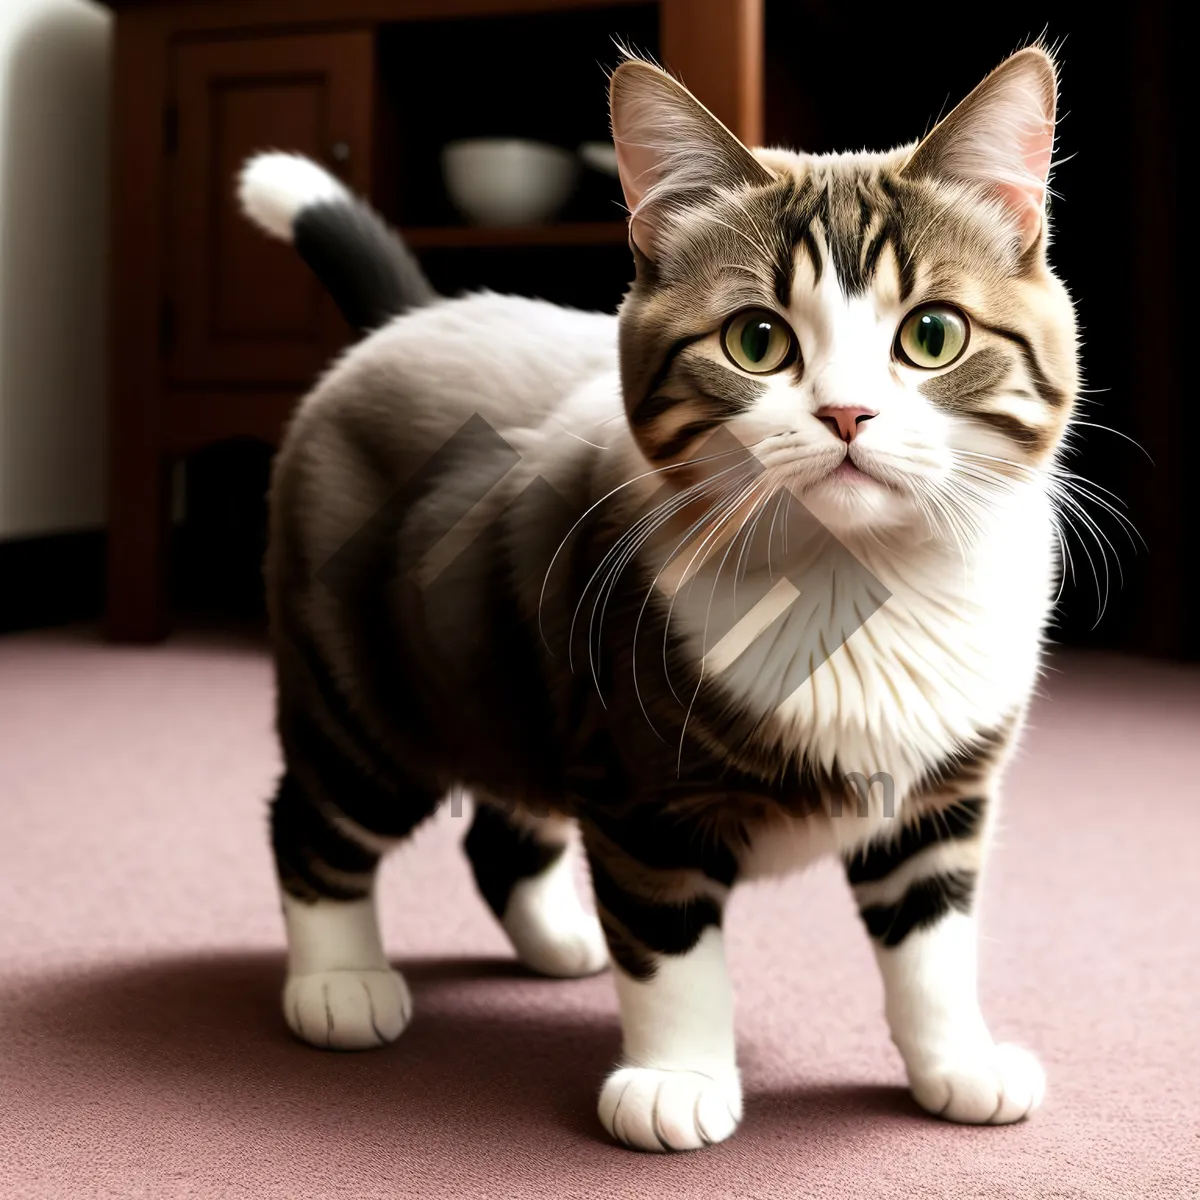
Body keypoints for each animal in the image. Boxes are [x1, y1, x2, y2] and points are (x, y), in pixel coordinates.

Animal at [238, 44, 1075, 1152]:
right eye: (757, 340)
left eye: (933, 333)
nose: (849, 413)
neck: (853, 582)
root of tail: (410, 317)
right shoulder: (640, 789)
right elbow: (671, 947)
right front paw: (676, 1079)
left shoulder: (941, 796)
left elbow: (934, 944)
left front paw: (959, 1064)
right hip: (368, 679)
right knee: (316, 813)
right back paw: (340, 984)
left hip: (512, 667)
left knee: (500, 825)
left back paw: (559, 940)